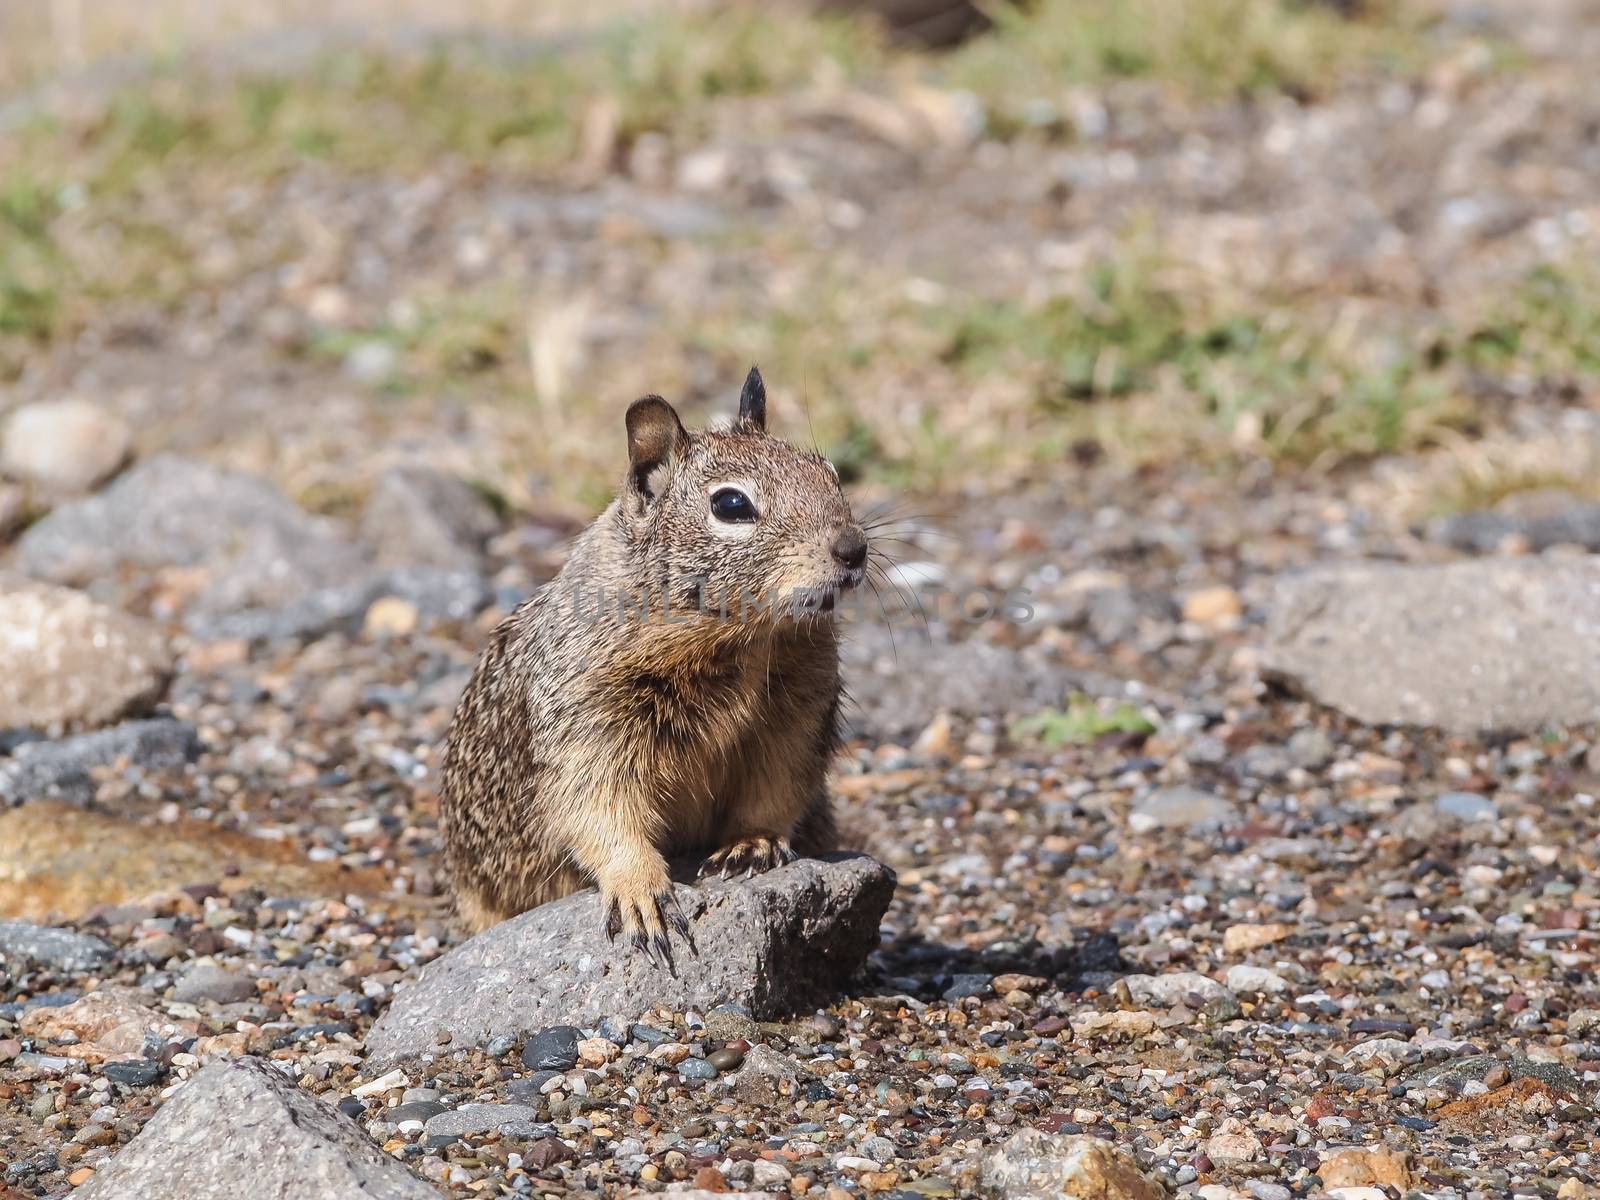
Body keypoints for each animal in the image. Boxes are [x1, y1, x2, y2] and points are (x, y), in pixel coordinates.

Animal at [435, 371, 864, 972]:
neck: (746, 640)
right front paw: (640, 890)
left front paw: (752, 844)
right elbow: (598, 809)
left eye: (830, 472)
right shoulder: (587, 719)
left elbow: (777, 790)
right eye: (732, 504)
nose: (854, 549)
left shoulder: (797, 719)